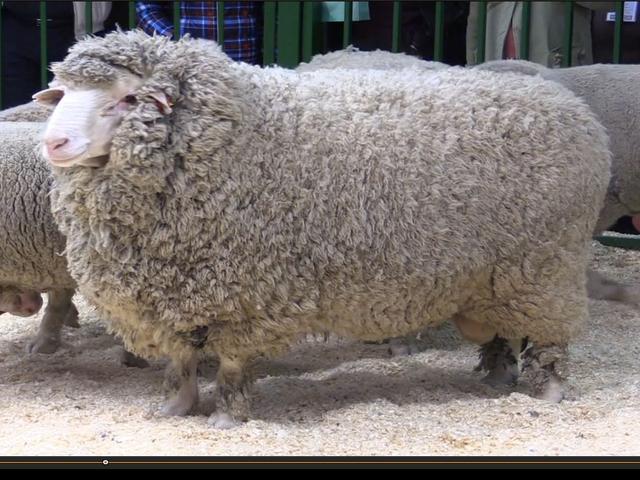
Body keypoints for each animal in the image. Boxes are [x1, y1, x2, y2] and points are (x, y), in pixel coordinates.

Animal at [37, 30, 610, 427]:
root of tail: (577, 111)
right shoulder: (170, 297)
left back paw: (548, 391)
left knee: (550, 337)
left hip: (545, 268)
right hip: (495, 277)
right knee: (502, 331)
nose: (54, 143)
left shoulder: (243, 295)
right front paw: (172, 410)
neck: (229, 135)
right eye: (62, 94)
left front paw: (226, 417)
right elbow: (180, 363)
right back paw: (496, 376)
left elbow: (229, 365)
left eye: (126, 99)